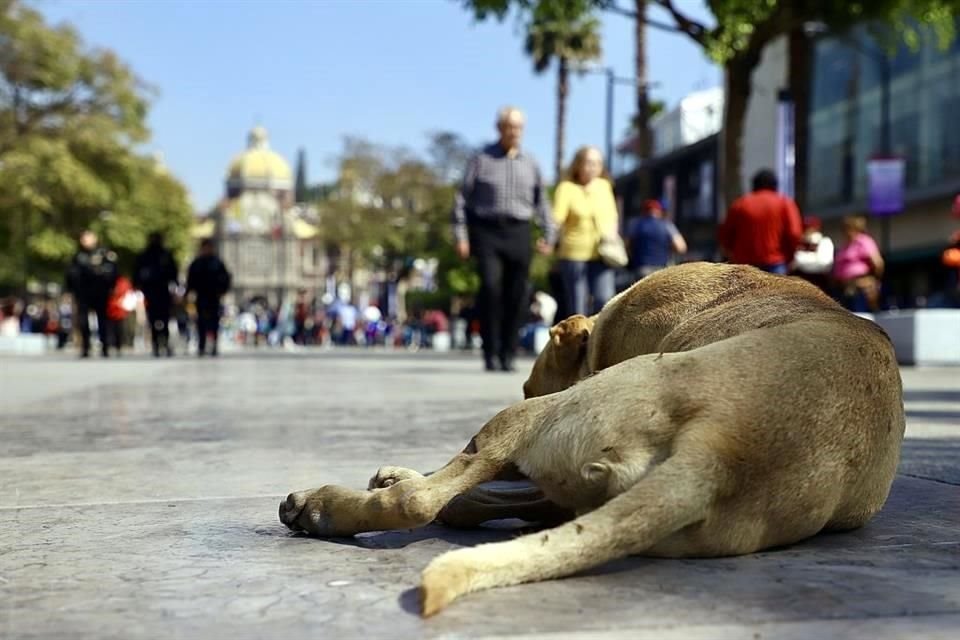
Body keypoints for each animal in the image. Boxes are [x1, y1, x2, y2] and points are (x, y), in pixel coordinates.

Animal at [276, 262, 900, 616]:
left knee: (423, 502)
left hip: (539, 414)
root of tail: (720, 453)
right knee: (474, 499)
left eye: (529, 377)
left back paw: (323, 506)